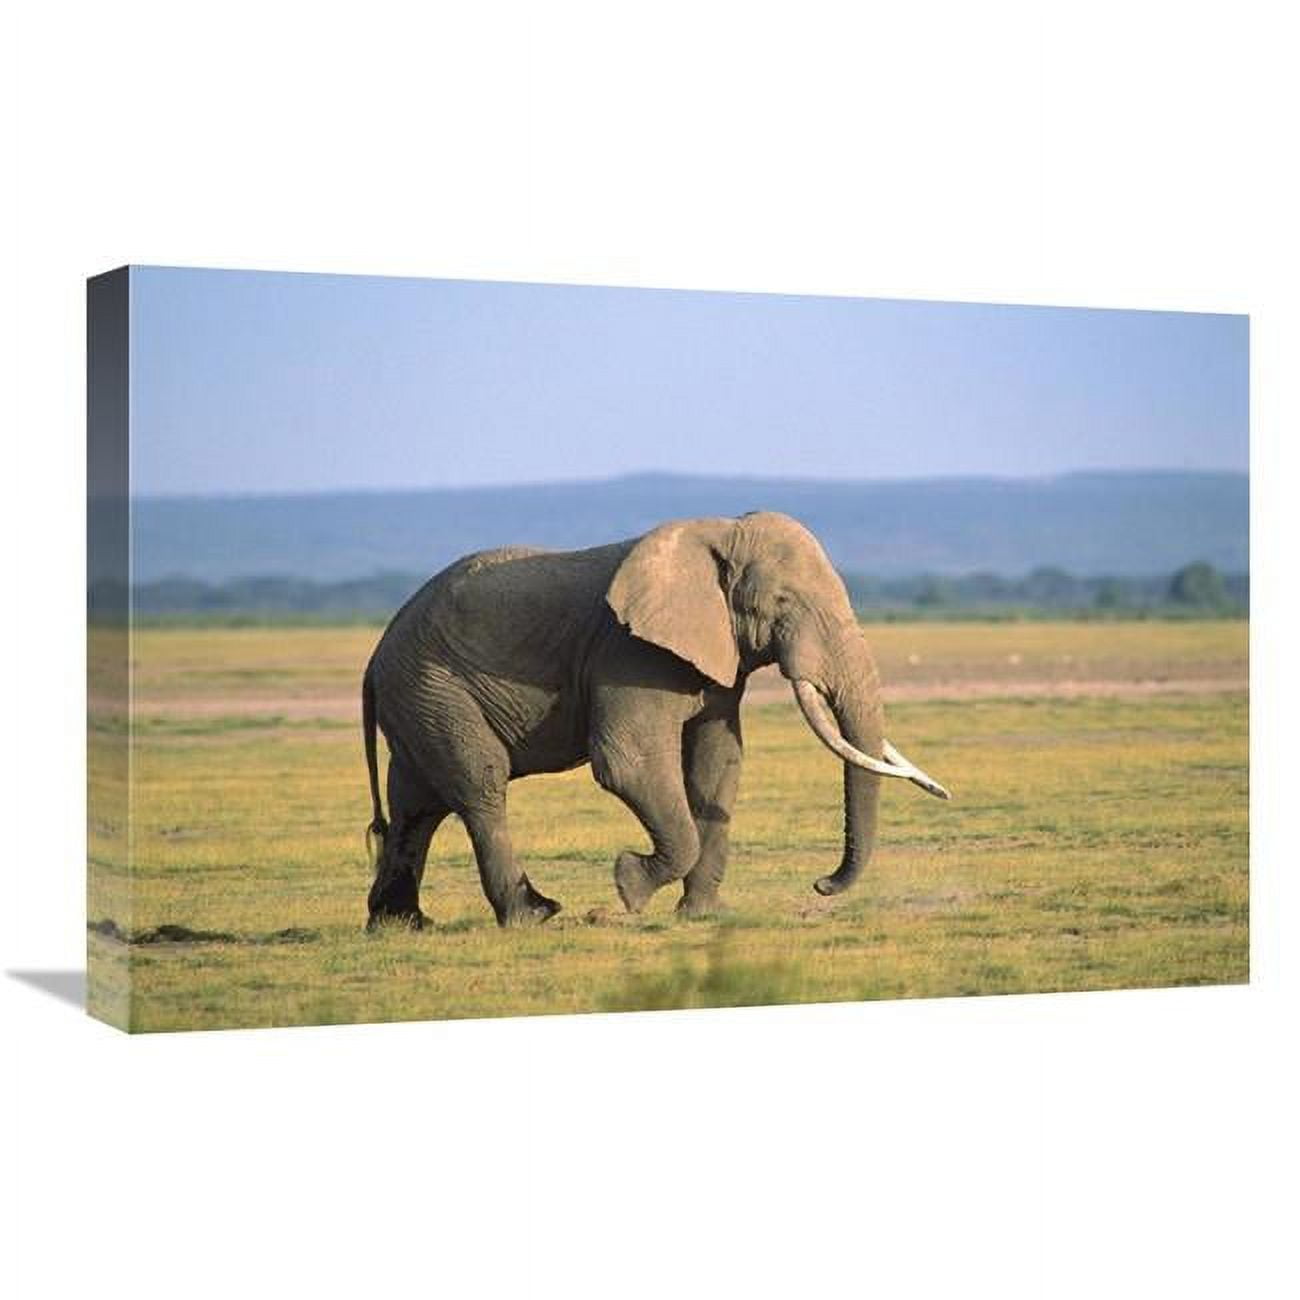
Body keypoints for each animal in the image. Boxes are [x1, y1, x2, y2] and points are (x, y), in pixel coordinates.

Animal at [361, 511, 949, 929]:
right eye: (781, 602)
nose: (821, 885)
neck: (719, 532)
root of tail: (374, 659)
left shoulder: (714, 655)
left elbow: (718, 763)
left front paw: (703, 916)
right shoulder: (628, 651)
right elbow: (628, 762)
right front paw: (628, 887)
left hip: (420, 701)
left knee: (417, 804)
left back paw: (399, 924)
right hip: (436, 690)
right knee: (479, 788)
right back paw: (533, 916)